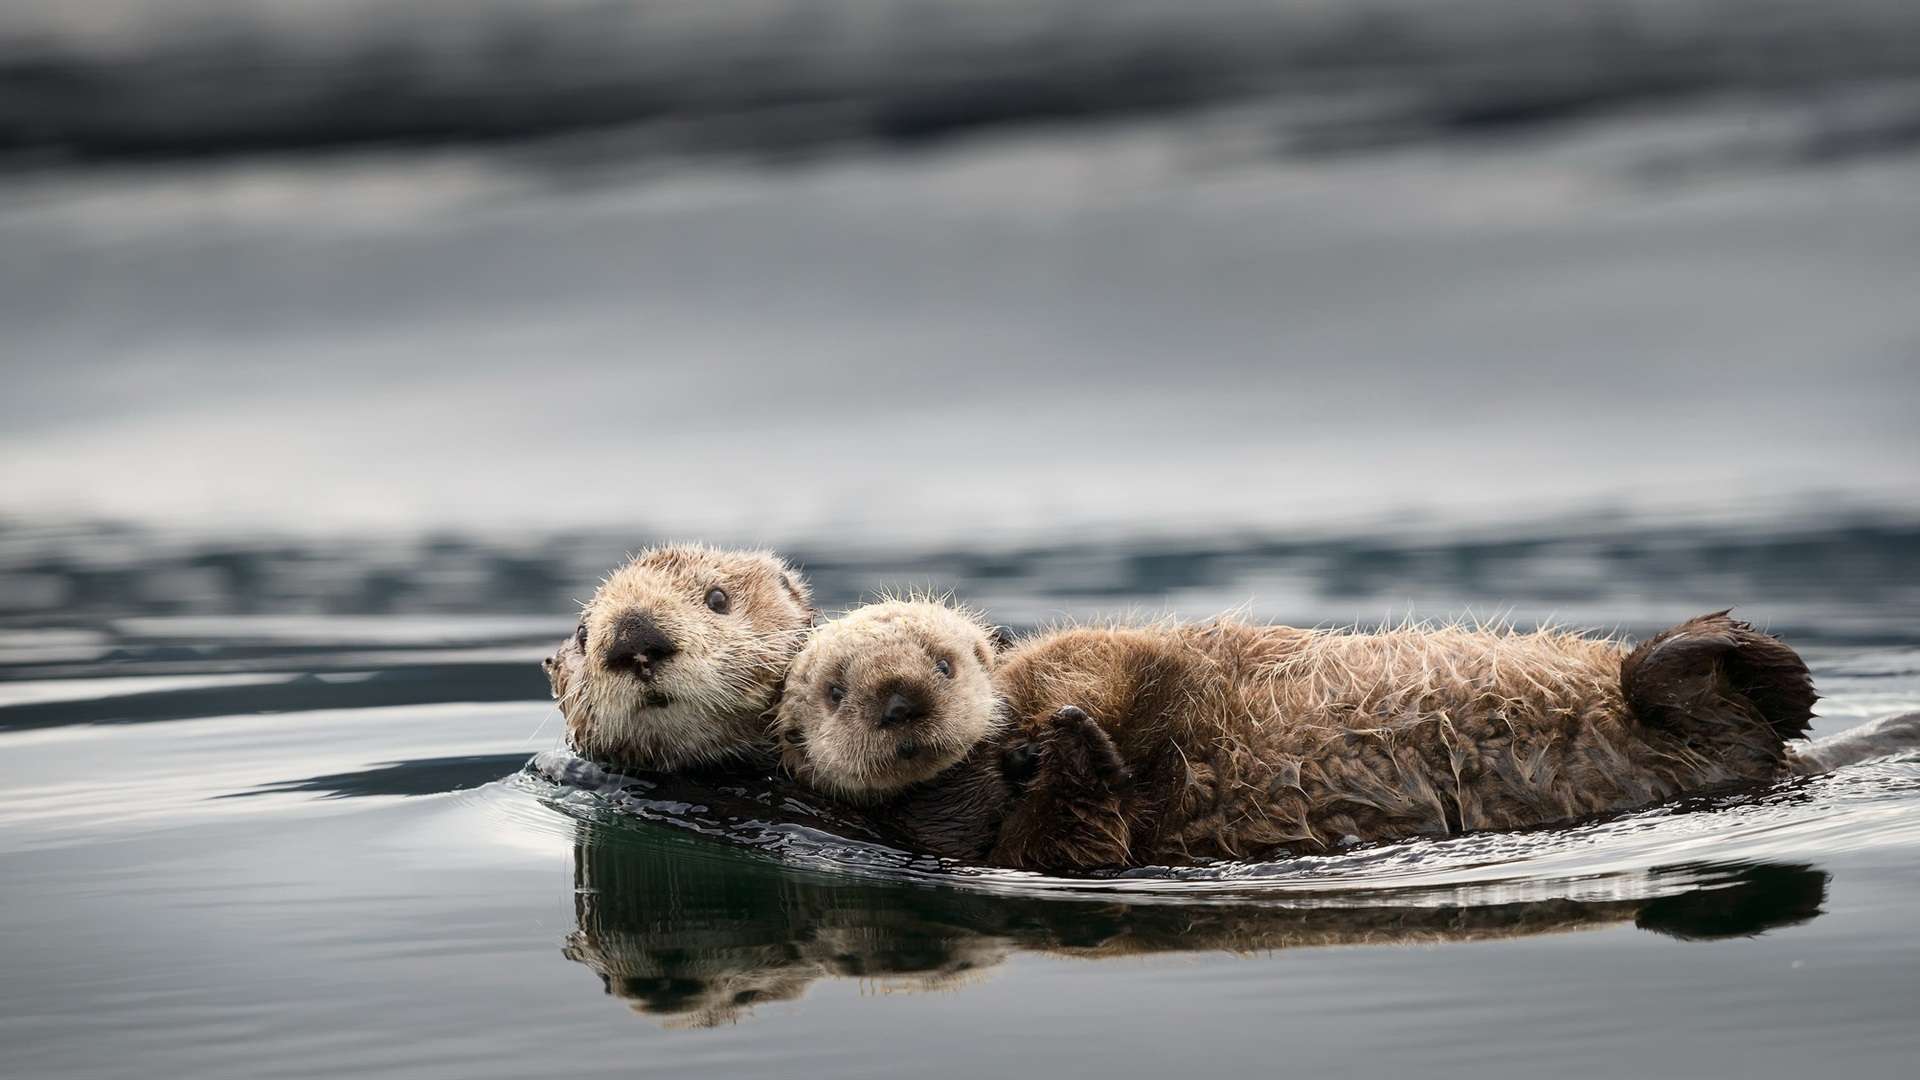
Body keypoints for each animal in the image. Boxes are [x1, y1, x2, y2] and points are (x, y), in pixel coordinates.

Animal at [775, 600, 1823, 872]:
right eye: (834, 690)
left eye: (945, 659)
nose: (902, 700)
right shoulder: (1011, 851)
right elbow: (1077, 834)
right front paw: (1076, 753)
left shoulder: (1090, 656)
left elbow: (1109, 664)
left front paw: (1065, 728)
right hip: (1710, 744)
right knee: (1728, 724)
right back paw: (1725, 658)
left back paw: (1731, 647)